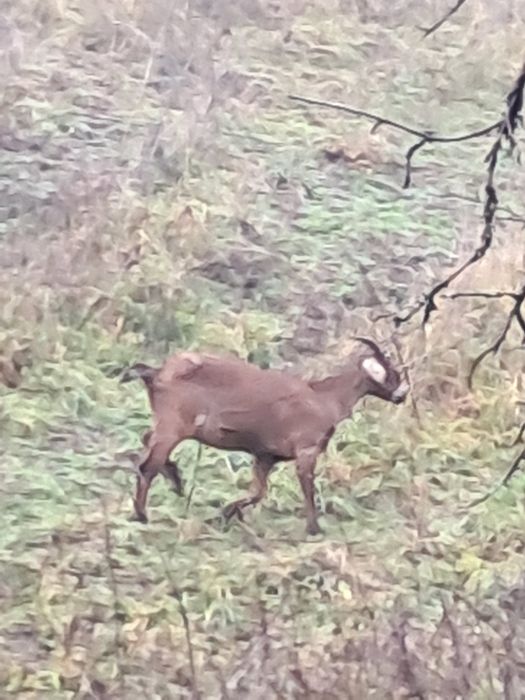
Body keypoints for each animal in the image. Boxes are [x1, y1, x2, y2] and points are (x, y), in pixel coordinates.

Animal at [119, 337, 408, 535]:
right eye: (392, 373)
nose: (402, 396)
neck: (324, 397)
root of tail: (156, 373)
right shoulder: (306, 449)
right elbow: (306, 488)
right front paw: (314, 528)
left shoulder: (266, 456)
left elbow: (258, 492)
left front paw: (225, 513)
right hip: (173, 426)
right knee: (147, 465)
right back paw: (142, 514)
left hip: (166, 424)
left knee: (146, 441)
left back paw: (175, 479)